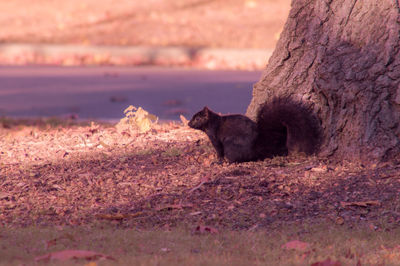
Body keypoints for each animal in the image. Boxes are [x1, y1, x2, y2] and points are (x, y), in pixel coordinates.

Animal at [188, 96, 322, 163]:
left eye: (197, 118)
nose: (189, 123)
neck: (212, 122)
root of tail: (256, 147)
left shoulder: (214, 137)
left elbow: (219, 151)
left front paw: (218, 161)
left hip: (231, 144)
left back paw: (229, 161)